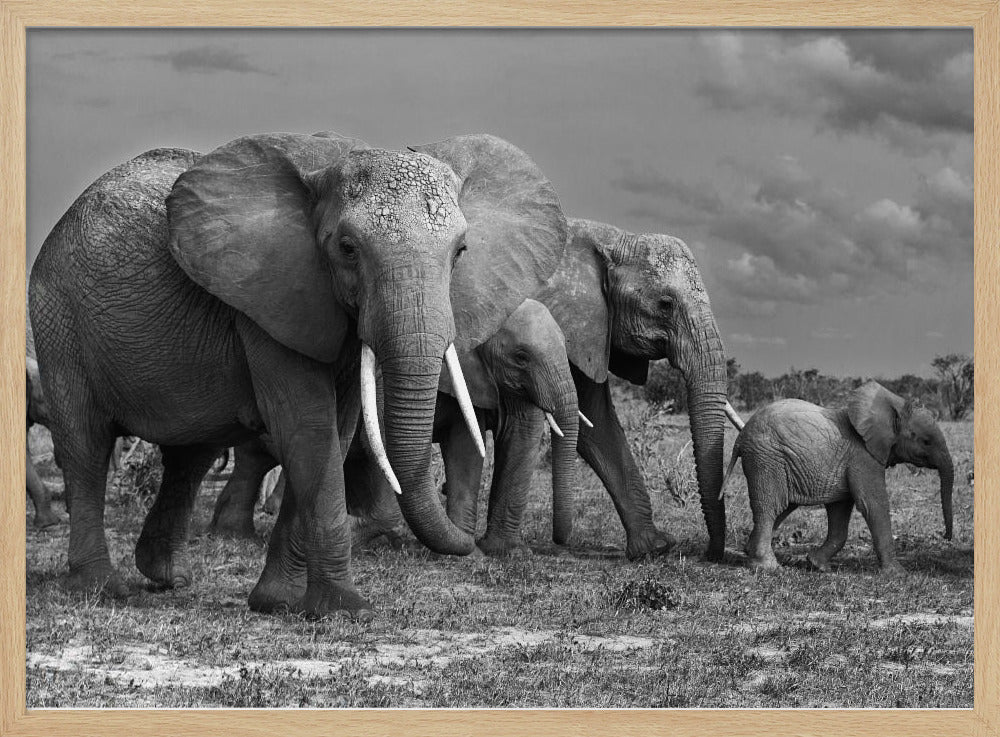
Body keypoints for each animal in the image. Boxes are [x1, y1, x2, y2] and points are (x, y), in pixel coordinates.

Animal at [28, 132, 567, 618]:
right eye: (347, 248)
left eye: (461, 252)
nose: (472, 543)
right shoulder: (269, 297)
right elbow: (307, 429)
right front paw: (346, 611)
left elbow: (338, 431)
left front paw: (278, 604)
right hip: (58, 318)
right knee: (85, 445)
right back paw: (103, 590)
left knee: (190, 456)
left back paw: (168, 579)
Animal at [719, 381, 954, 575]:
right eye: (926, 441)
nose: (946, 537)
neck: (893, 406)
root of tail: (741, 438)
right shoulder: (863, 456)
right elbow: (873, 504)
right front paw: (898, 574)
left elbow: (840, 510)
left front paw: (817, 565)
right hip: (766, 459)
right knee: (770, 506)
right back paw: (769, 567)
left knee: (782, 507)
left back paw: (750, 552)